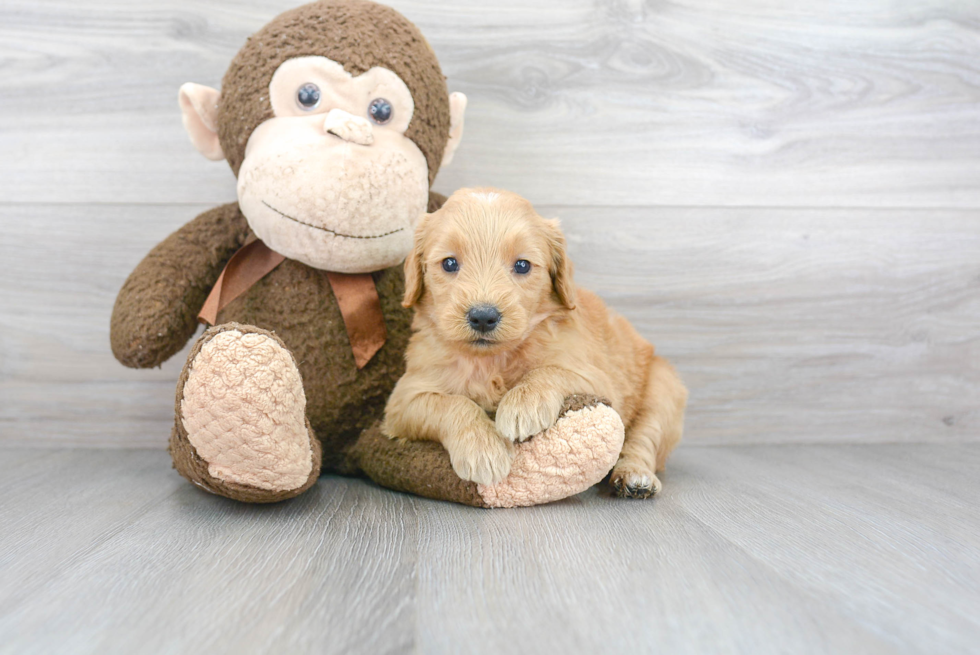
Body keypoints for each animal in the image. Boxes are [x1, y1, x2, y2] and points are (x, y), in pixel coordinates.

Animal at [382, 188, 688, 498]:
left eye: (522, 265)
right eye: (449, 263)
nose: (483, 317)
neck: (491, 361)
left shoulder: (597, 377)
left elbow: (548, 371)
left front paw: (522, 405)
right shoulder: (403, 400)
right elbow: (452, 404)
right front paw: (483, 449)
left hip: (663, 390)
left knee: (643, 439)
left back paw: (635, 476)